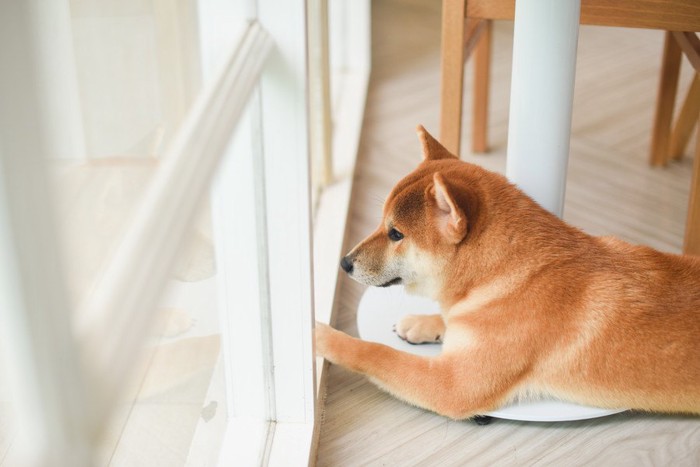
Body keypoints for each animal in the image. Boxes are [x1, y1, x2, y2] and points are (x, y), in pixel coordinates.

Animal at [316, 125, 700, 420]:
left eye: (396, 234)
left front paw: (322, 336)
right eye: (382, 223)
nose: (344, 262)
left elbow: (377, 354)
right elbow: (450, 318)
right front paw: (425, 322)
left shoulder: (451, 385)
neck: (505, 275)